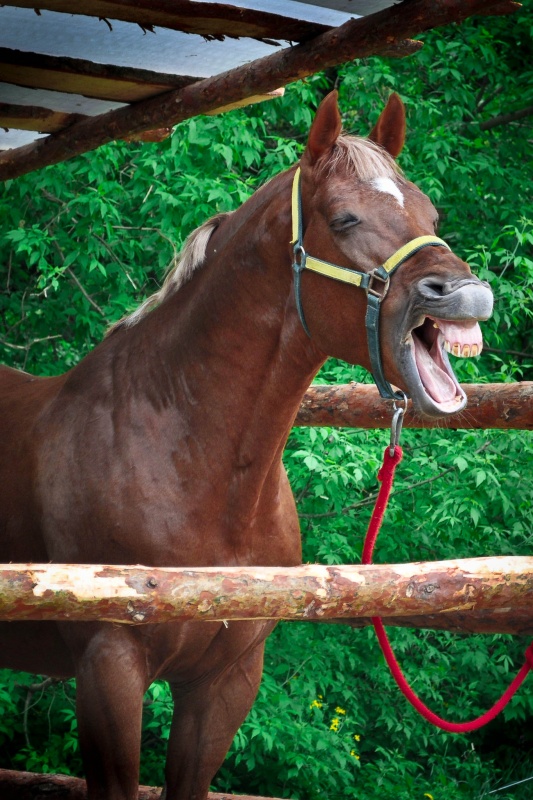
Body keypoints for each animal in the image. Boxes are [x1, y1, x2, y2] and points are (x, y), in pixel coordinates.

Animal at [0, 91, 493, 800]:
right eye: (344, 218)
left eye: (430, 213)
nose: (468, 296)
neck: (185, 458)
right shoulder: (108, 667)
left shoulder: (226, 680)